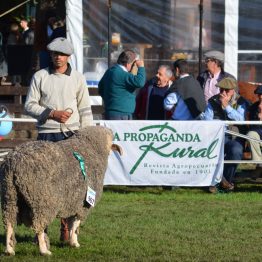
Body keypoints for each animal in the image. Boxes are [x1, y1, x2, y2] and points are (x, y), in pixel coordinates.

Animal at [0, 126, 122, 255]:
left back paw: (9, 250)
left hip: (9, 195)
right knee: (39, 226)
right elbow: (76, 224)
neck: (91, 149)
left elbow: (71, 222)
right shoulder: (83, 204)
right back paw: (44, 250)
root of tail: (14, 162)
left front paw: (71, 241)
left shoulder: (73, 200)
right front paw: (75, 243)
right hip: (42, 200)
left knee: (9, 223)